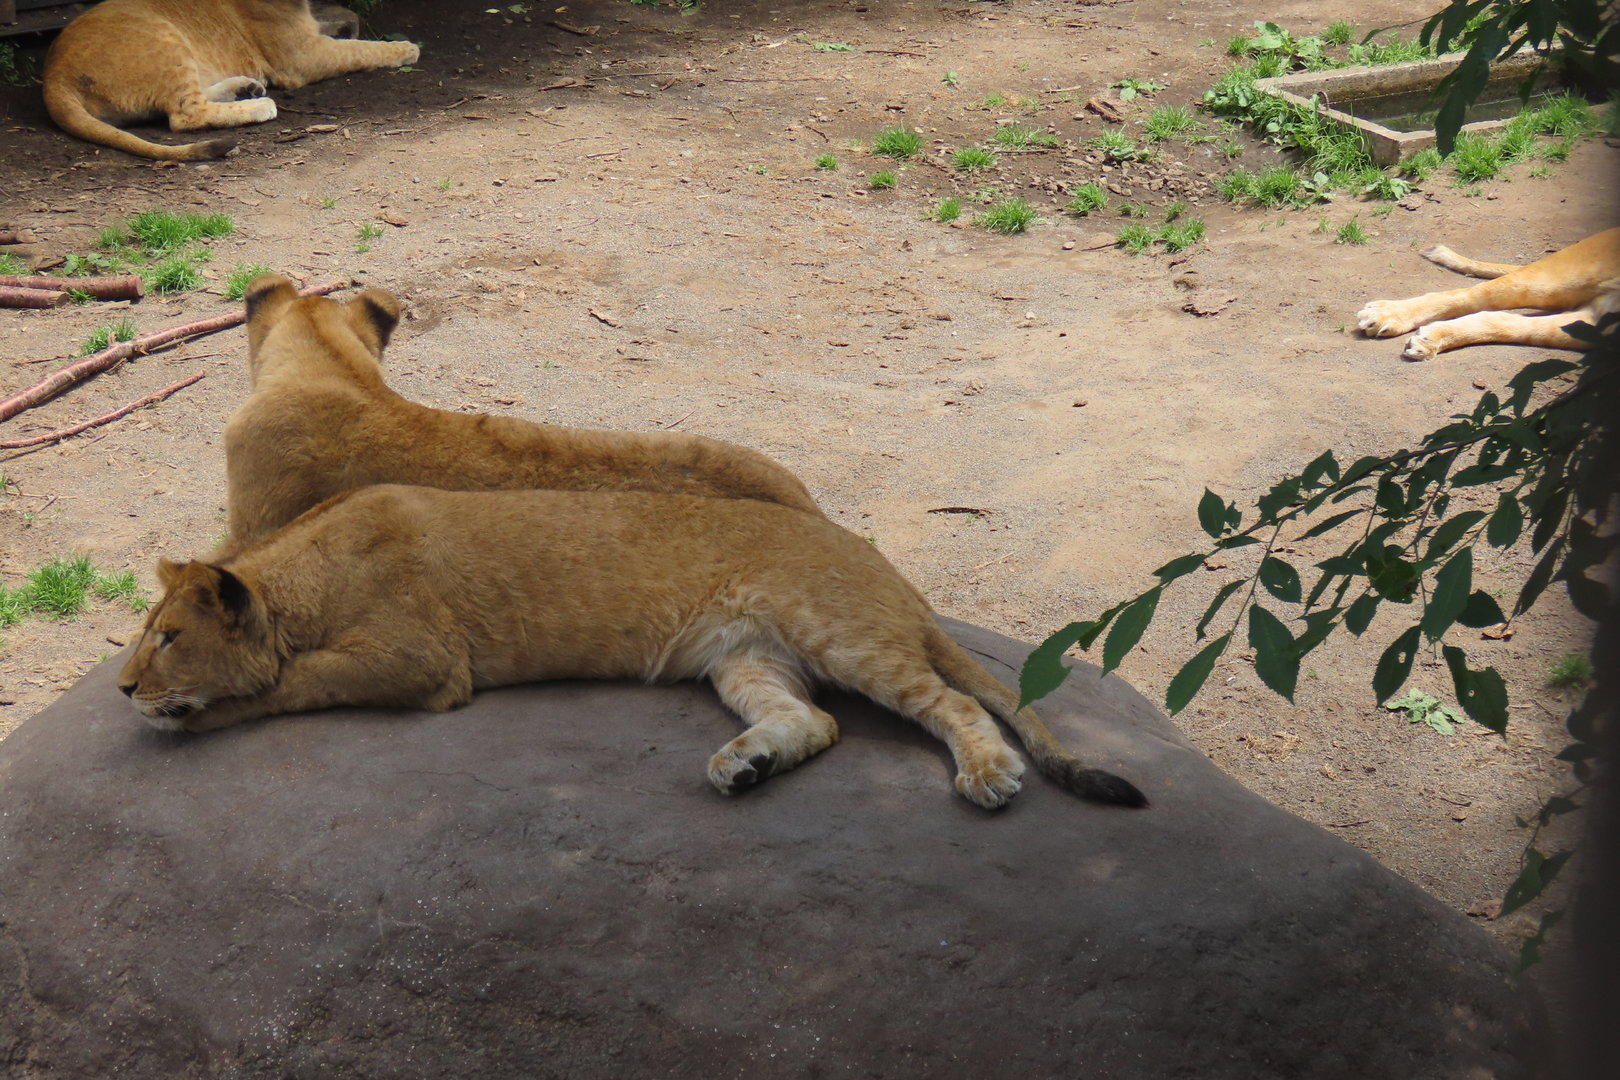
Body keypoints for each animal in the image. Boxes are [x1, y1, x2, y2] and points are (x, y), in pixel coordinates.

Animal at [43, 0, 419, 161]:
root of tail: (53, 75)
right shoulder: (301, 57)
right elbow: (358, 50)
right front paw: (405, 48)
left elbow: (344, 21)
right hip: (162, 35)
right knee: (184, 115)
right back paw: (259, 104)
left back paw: (246, 87)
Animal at [117, 484, 1147, 811]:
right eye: (141, 633)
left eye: (167, 637)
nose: (122, 689)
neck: (307, 574)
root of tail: (892, 569)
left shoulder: (426, 662)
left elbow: (294, 681)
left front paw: (197, 713)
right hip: (746, 657)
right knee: (813, 722)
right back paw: (744, 764)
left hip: (842, 632)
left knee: (958, 702)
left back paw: (986, 775)